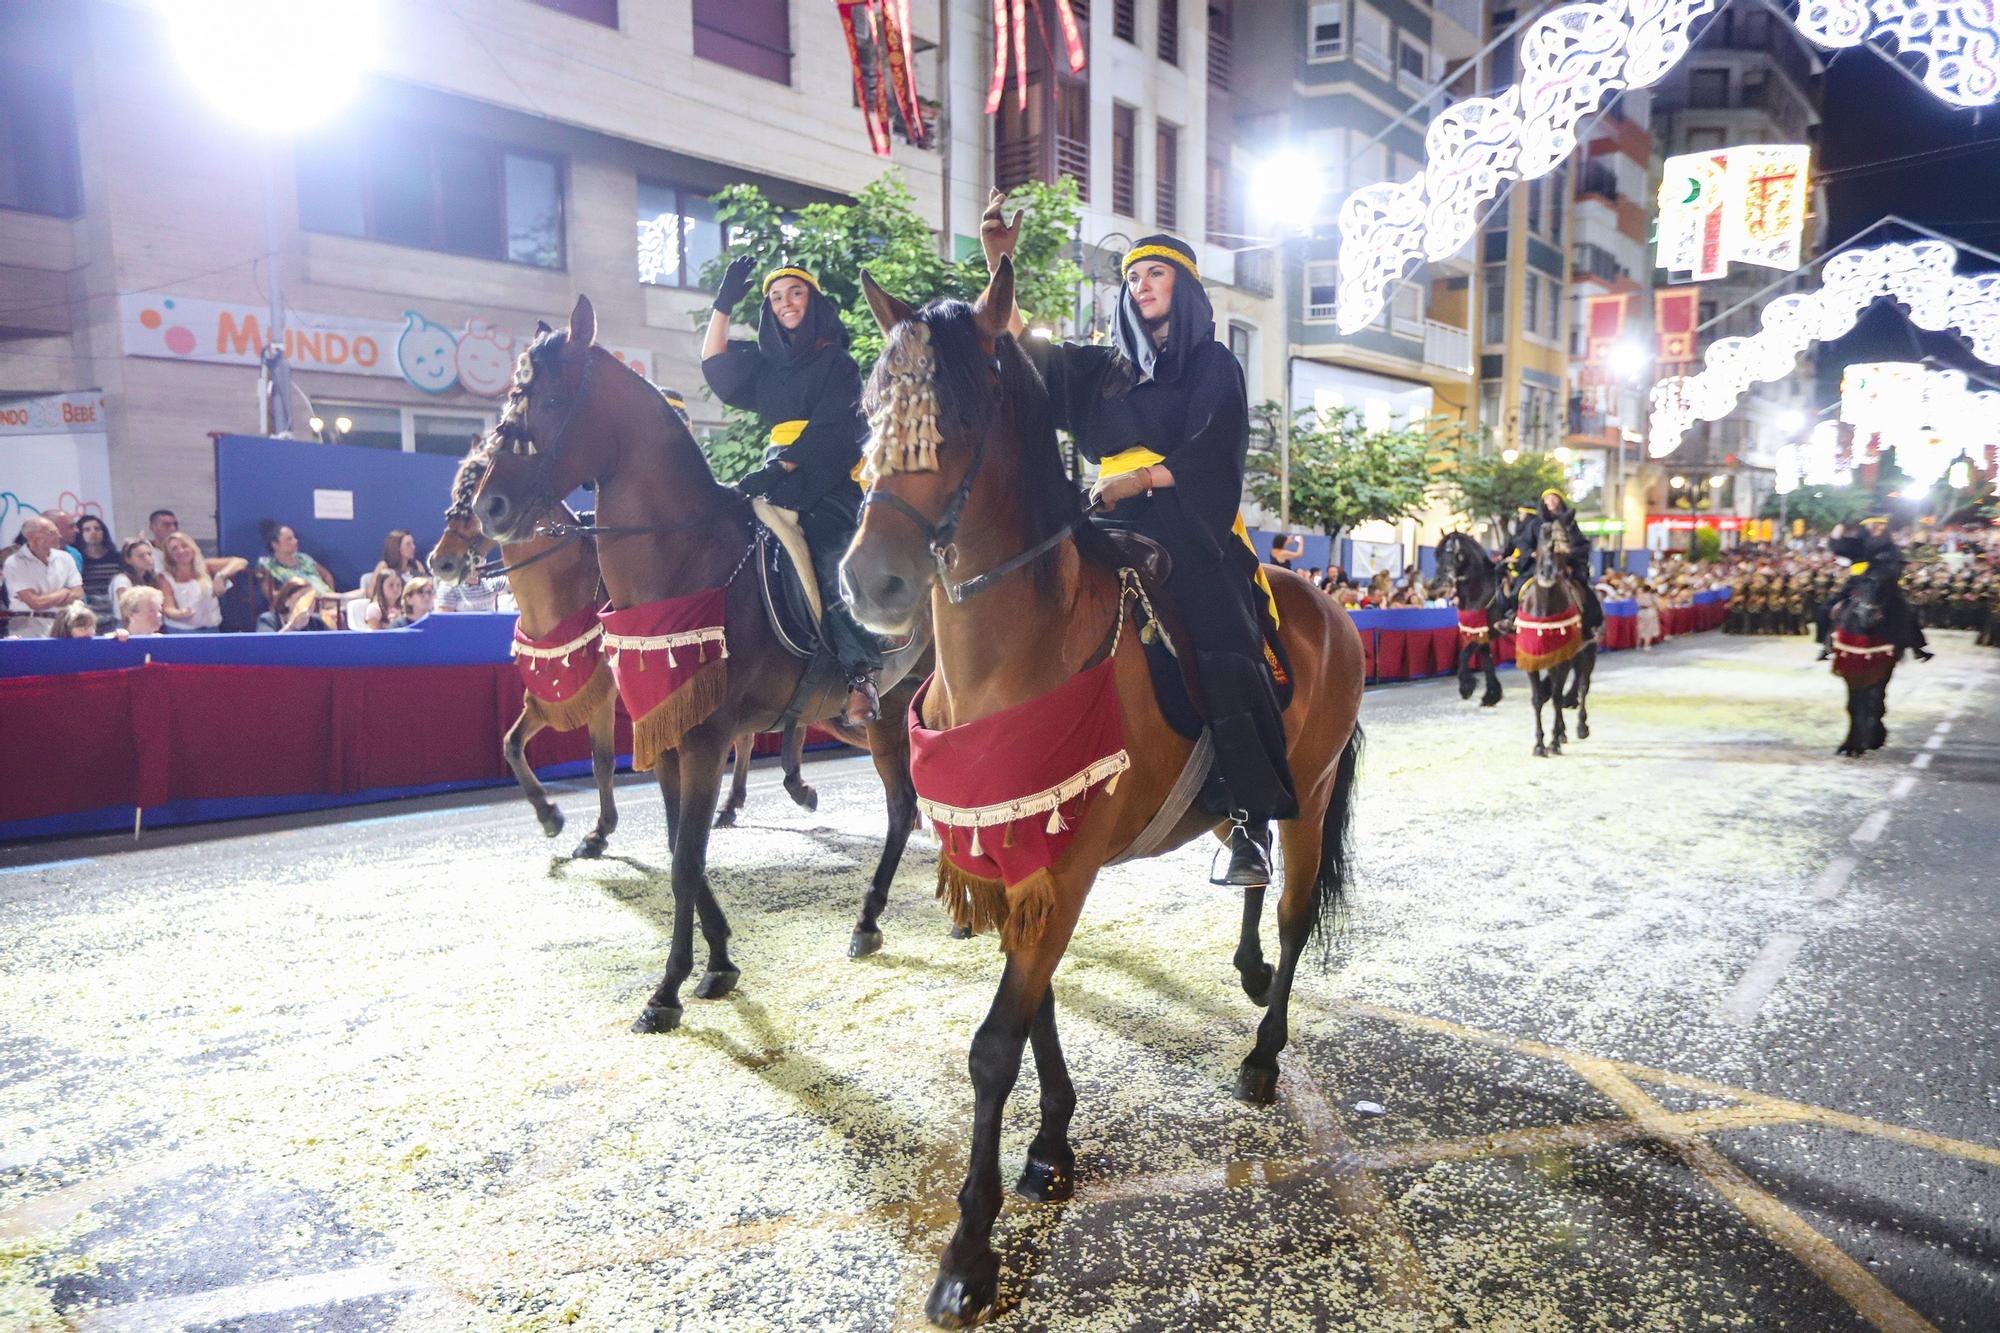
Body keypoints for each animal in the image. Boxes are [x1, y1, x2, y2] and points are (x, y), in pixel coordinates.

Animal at [426, 444, 808, 852]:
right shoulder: (552, 693)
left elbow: (602, 760)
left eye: (475, 496)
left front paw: (600, 830)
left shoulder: (600, 692)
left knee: (754, 735)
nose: (441, 561)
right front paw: (548, 814)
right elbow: (512, 744)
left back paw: (762, 793)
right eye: (457, 493)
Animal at [468, 298, 936, 1024]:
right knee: (908, 801)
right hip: (880, 712)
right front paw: (717, 959)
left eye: (551, 400)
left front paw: (668, 990)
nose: (489, 506)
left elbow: (686, 859)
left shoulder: (707, 738)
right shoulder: (666, 732)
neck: (687, 559)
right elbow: (677, 848)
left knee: (913, 798)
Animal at [836, 262, 1368, 1328]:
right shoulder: (1020, 853)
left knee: (1294, 913)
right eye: (873, 410)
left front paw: (970, 1246)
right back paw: (1246, 957)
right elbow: (1035, 1008)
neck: (1019, 654)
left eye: (959, 417)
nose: (873, 582)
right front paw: (1052, 1142)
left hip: (1315, 785)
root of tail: (1332, 605)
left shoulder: (1069, 863)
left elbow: (995, 1043)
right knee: (1254, 873)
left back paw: (1263, 1051)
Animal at [1440, 528, 1504, 704]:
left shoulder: (1481, 631)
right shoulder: (1481, 632)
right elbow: (1487, 661)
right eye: (1437, 556)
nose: (1439, 583)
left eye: (1452, 554)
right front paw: (1492, 695)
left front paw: (1466, 686)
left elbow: (1463, 655)